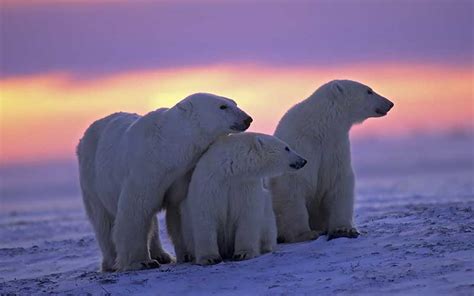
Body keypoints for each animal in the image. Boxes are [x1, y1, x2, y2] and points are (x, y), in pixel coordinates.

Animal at [76, 92, 252, 270]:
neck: (166, 150)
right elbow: (135, 210)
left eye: (234, 102)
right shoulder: (144, 169)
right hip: (92, 178)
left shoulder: (182, 174)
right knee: (104, 220)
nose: (248, 119)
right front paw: (142, 262)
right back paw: (112, 262)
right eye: (222, 106)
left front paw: (187, 254)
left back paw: (161, 255)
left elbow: (178, 209)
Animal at [179, 133, 308, 264]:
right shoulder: (210, 183)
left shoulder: (245, 185)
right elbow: (205, 216)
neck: (230, 170)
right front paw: (210, 258)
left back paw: (266, 247)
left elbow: (247, 215)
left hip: (267, 212)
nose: (303, 161)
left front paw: (243, 254)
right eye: (287, 148)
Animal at [268, 80, 394, 243]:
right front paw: (305, 233)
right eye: (369, 91)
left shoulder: (335, 148)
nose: (390, 103)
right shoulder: (301, 146)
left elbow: (339, 182)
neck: (320, 129)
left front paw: (343, 229)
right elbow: (293, 185)